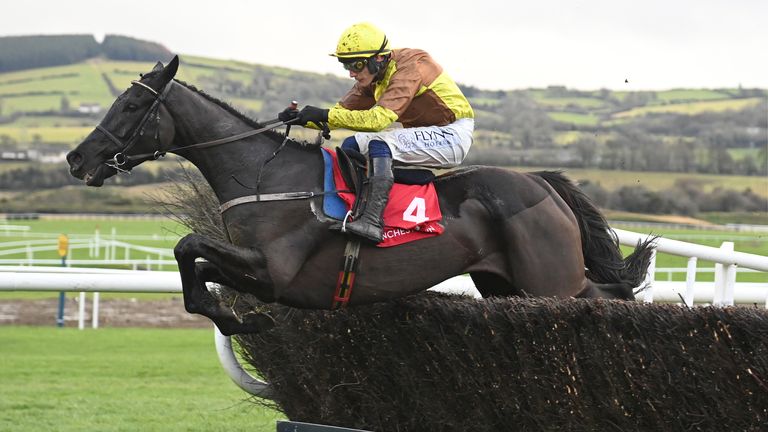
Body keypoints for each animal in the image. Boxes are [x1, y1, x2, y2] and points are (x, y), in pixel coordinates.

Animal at [67, 55, 656, 336]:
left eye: (128, 106)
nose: (77, 159)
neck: (266, 177)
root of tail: (540, 182)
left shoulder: (275, 270)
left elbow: (188, 246)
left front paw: (243, 320)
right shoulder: (254, 269)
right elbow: (197, 270)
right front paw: (239, 319)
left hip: (551, 280)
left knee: (608, 297)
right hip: (505, 286)